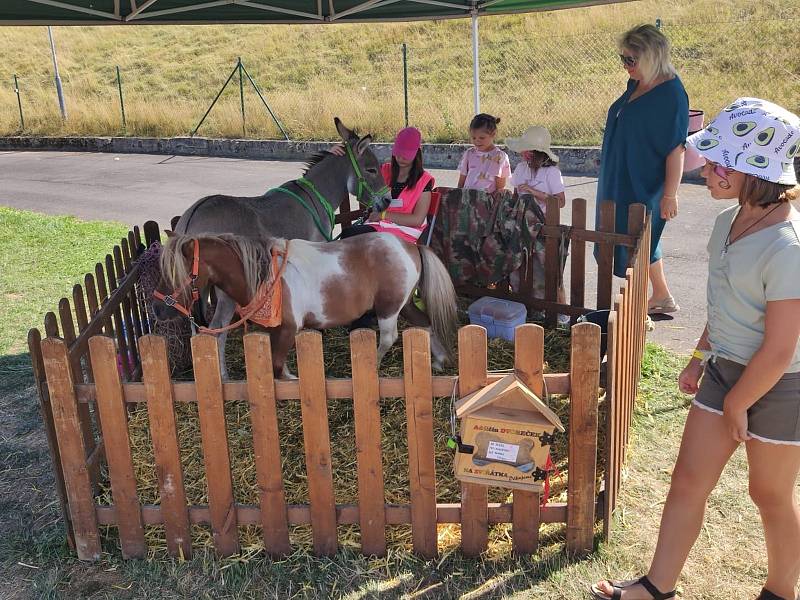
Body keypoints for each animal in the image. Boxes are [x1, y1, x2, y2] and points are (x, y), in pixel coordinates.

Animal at [153, 232, 460, 378]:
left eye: (176, 272)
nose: (157, 308)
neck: (266, 276)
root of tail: (410, 246)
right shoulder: (276, 333)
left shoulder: (288, 330)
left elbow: (279, 370)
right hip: (404, 304)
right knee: (425, 324)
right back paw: (439, 360)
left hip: (389, 308)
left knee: (388, 337)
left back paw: (373, 362)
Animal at [172, 118, 390, 378]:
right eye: (372, 170)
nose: (387, 201)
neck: (315, 197)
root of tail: (191, 218)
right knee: (217, 329)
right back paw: (223, 377)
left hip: (197, 289)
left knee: (197, 330)